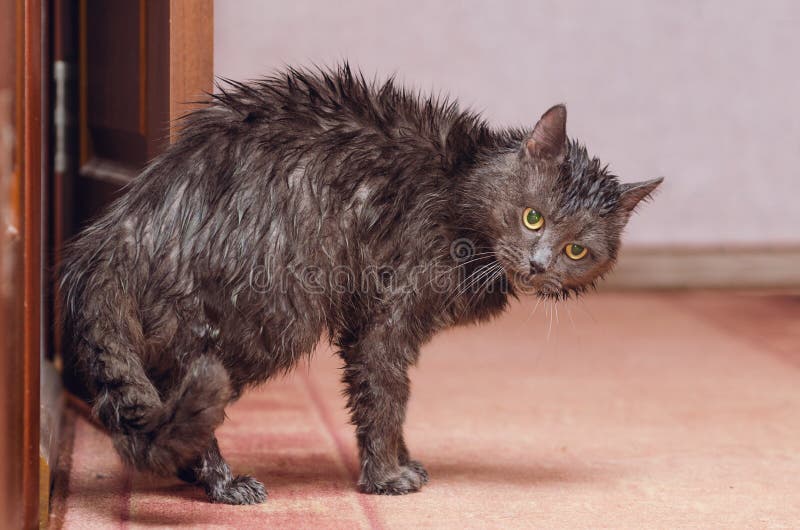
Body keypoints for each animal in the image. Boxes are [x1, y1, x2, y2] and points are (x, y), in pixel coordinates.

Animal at [59, 64, 664, 502]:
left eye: (576, 251)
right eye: (533, 218)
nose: (539, 265)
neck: (460, 190)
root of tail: (122, 224)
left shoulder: (382, 324)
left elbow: (389, 398)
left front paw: (403, 459)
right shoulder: (387, 315)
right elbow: (386, 395)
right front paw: (386, 478)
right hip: (272, 314)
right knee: (181, 389)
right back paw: (221, 482)